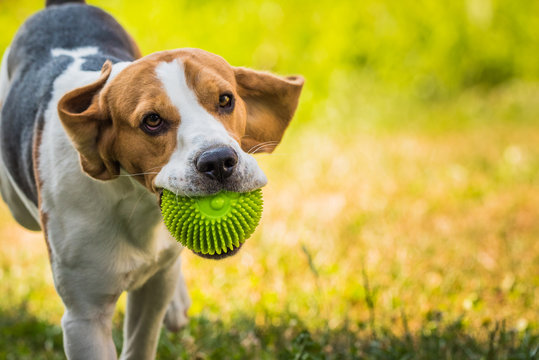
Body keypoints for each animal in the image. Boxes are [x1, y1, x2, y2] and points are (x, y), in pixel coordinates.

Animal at [0, 1, 304, 358]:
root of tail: (61, 6)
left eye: (226, 100)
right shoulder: (84, 319)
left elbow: (142, 339)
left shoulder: (151, 294)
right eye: (152, 121)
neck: (133, 198)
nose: (218, 161)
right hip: (17, 207)